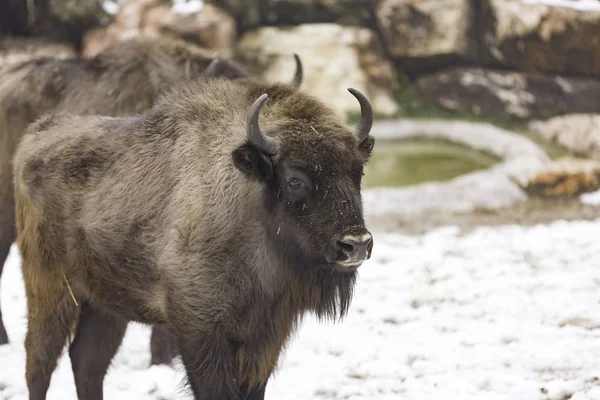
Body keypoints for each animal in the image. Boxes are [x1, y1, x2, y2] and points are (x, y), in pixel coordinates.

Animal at [11, 76, 372, 400]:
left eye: (358, 172)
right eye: (295, 179)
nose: (356, 243)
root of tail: (37, 134)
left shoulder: (264, 338)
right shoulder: (199, 329)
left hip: (103, 303)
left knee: (87, 362)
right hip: (51, 289)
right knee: (39, 364)